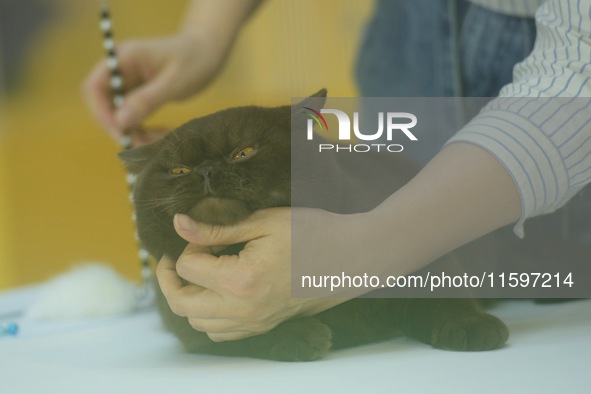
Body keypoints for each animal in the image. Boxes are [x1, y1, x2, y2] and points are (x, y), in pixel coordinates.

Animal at [119, 91, 508, 362]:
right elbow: (240, 336)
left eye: (244, 152)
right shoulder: (193, 324)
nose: (204, 171)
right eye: (179, 170)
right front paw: (298, 336)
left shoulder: (411, 247)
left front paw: (469, 326)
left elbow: (441, 293)